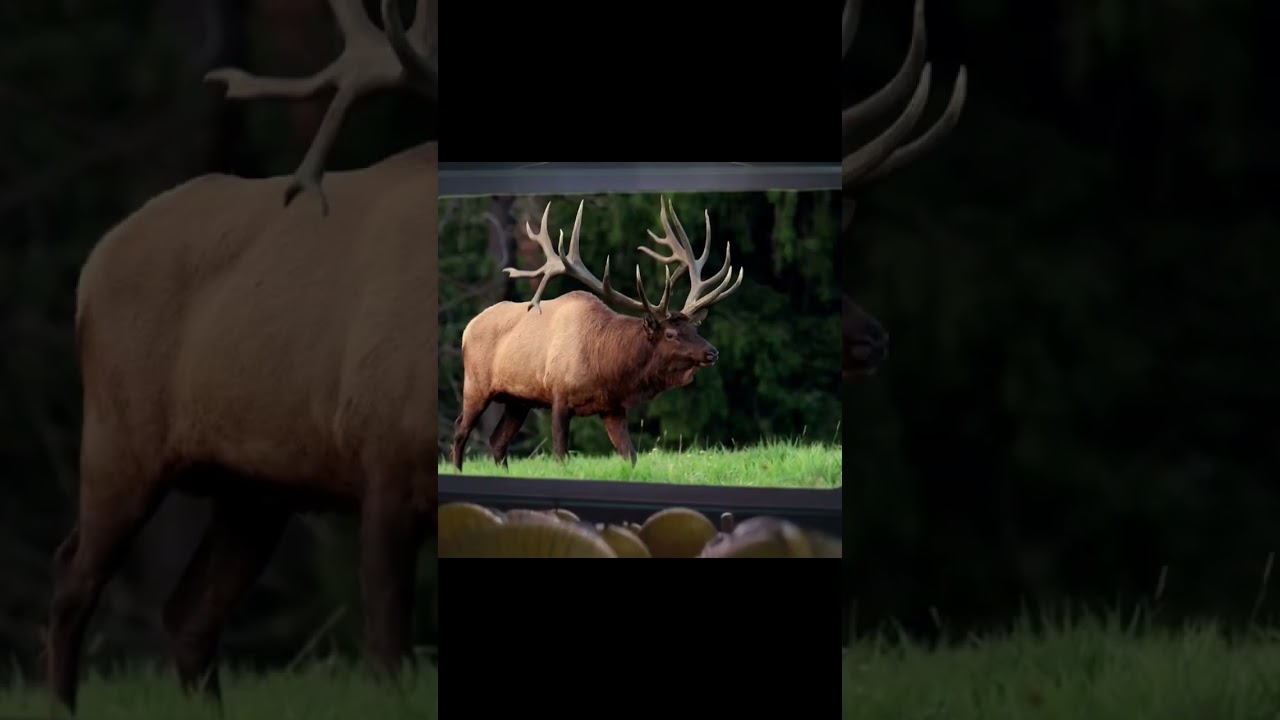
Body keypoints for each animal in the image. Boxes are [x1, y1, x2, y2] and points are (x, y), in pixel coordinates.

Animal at [44, 0, 437, 713]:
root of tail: (93, 263)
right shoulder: (383, 461)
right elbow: (388, 661)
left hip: (252, 487)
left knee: (188, 612)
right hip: (119, 438)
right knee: (71, 579)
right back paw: (60, 706)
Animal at [450, 197, 744, 470]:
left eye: (695, 327)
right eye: (671, 333)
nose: (712, 352)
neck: (606, 367)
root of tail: (467, 328)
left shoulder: (612, 407)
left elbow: (630, 456)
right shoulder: (559, 395)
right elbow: (561, 454)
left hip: (518, 400)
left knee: (497, 441)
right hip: (476, 385)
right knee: (460, 429)